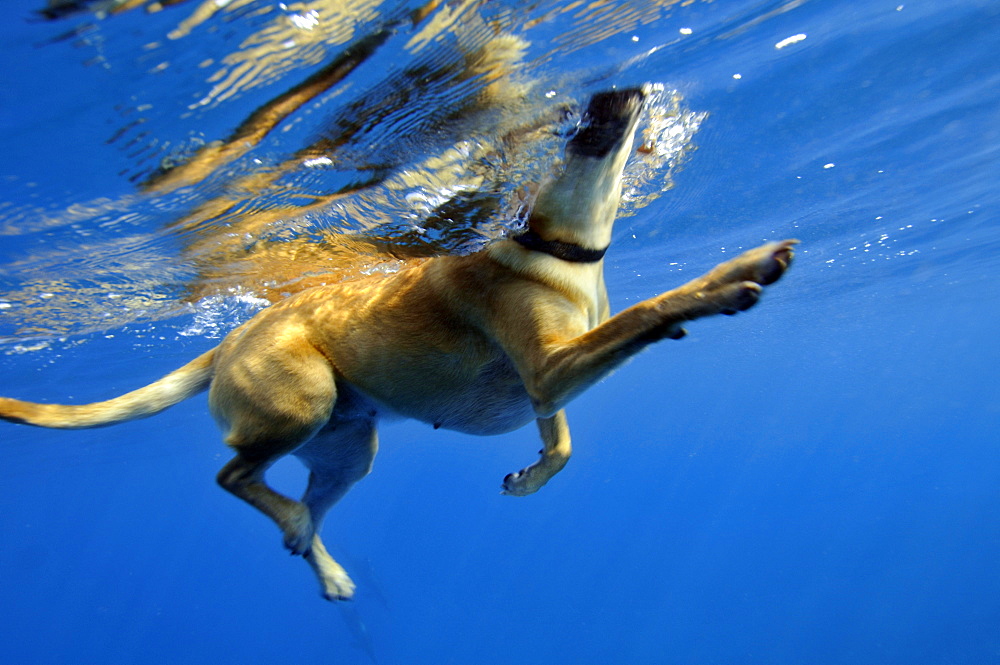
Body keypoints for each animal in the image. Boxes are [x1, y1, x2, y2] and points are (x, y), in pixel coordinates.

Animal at [0, 85, 796, 600]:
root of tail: (229, 338)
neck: (558, 245)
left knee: (290, 502)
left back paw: (319, 560)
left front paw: (530, 476)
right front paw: (727, 280)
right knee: (234, 475)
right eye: (566, 122)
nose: (622, 87)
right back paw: (294, 521)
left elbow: (564, 444)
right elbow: (649, 313)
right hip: (301, 402)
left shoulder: (545, 385)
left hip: (350, 446)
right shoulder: (550, 369)